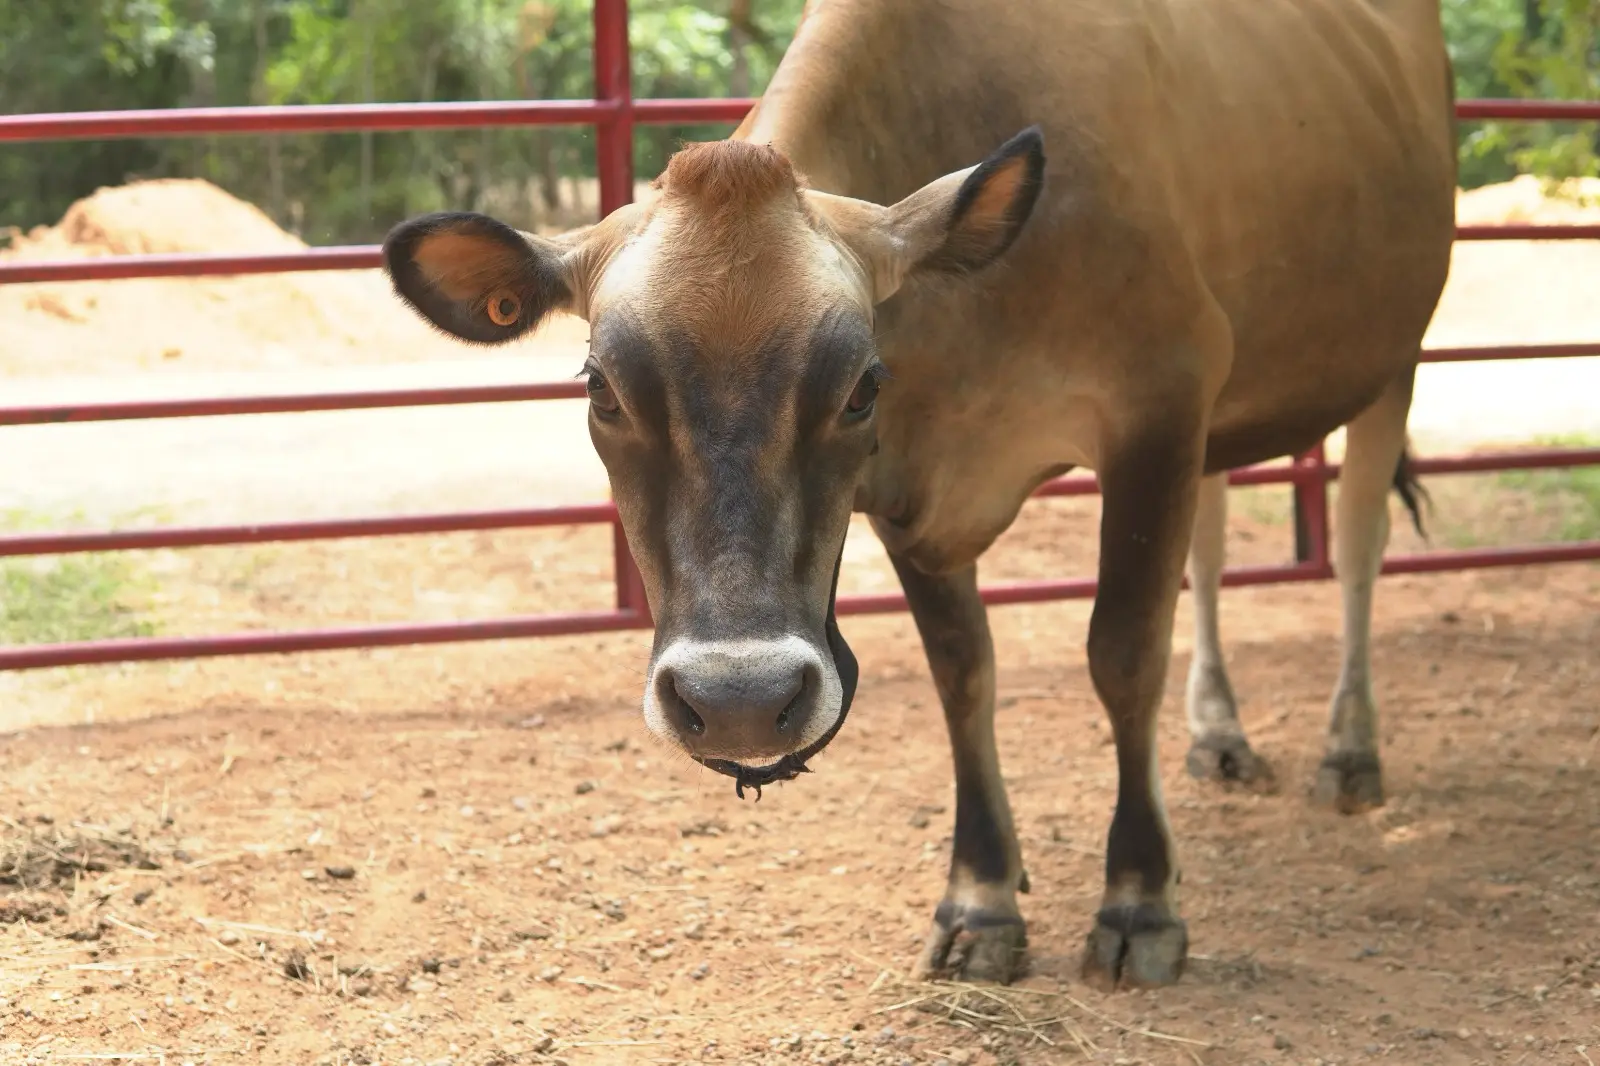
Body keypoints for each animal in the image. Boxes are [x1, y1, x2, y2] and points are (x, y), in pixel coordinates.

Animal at [381, 0, 1457, 989]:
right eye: (602, 389)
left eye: (860, 386)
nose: (738, 702)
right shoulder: (916, 491)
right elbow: (961, 671)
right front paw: (980, 899)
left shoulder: (1159, 406)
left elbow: (1122, 654)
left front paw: (1140, 898)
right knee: (1216, 542)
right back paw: (1221, 734)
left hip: (1391, 356)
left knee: (1357, 543)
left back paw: (1348, 751)